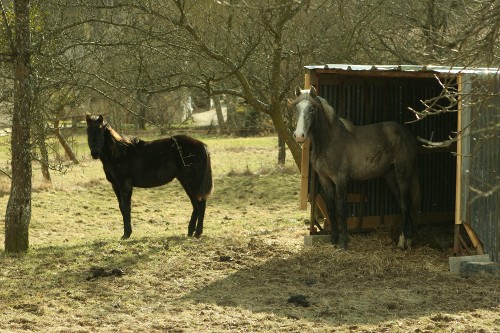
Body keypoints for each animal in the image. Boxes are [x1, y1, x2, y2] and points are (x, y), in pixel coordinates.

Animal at [292, 87, 420, 248]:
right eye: (296, 108)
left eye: (312, 108)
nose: (299, 136)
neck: (329, 141)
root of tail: (408, 135)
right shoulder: (324, 179)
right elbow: (331, 209)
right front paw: (333, 239)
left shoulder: (341, 179)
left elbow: (341, 209)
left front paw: (344, 242)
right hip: (390, 175)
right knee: (404, 205)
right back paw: (408, 239)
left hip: (403, 174)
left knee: (404, 205)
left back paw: (402, 242)